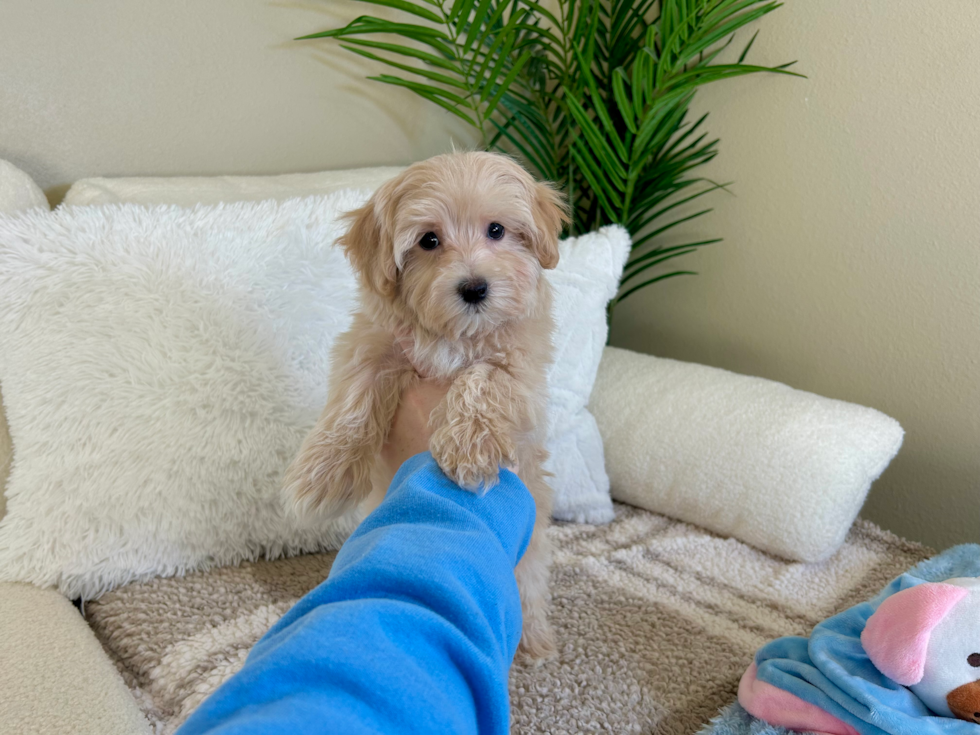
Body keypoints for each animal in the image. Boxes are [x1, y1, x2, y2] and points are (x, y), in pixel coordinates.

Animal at [280, 151, 572, 660]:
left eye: (497, 230)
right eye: (429, 240)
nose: (474, 288)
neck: (454, 336)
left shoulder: (521, 369)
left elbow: (484, 379)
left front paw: (470, 447)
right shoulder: (372, 345)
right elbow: (352, 402)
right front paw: (322, 477)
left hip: (529, 556)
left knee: (527, 591)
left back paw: (534, 641)